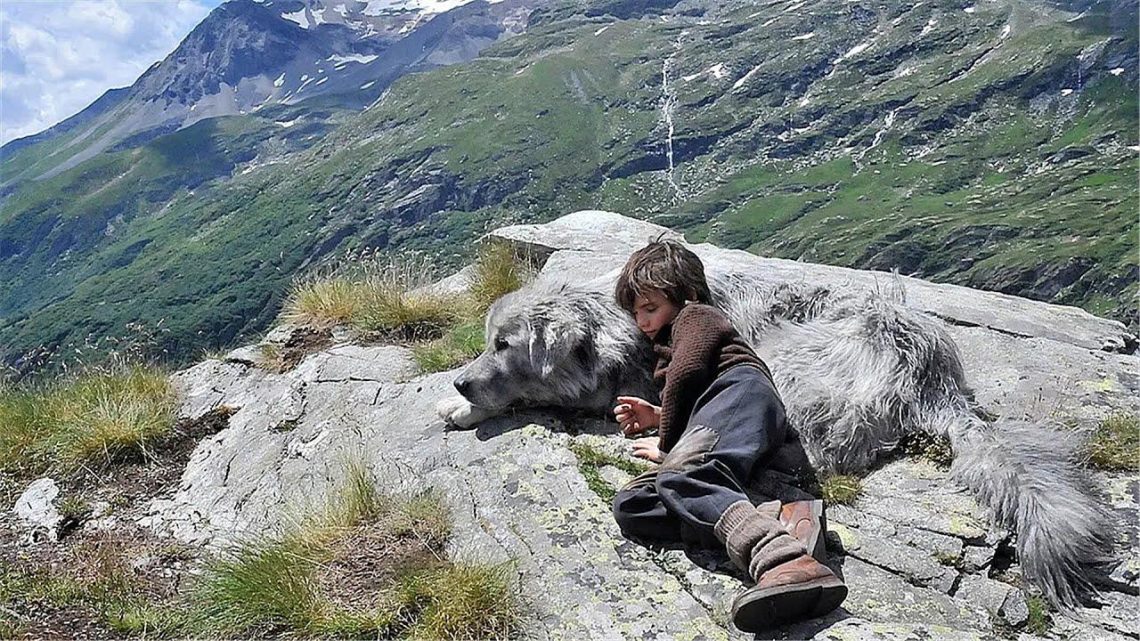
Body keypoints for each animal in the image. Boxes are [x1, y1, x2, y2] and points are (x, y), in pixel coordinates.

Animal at [435, 271, 1112, 606]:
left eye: (504, 344)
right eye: (488, 339)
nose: (462, 379)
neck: (612, 323)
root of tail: (933, 366)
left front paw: (463, 403)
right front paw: (457, 399)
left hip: (785, 364)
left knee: (813, 452)